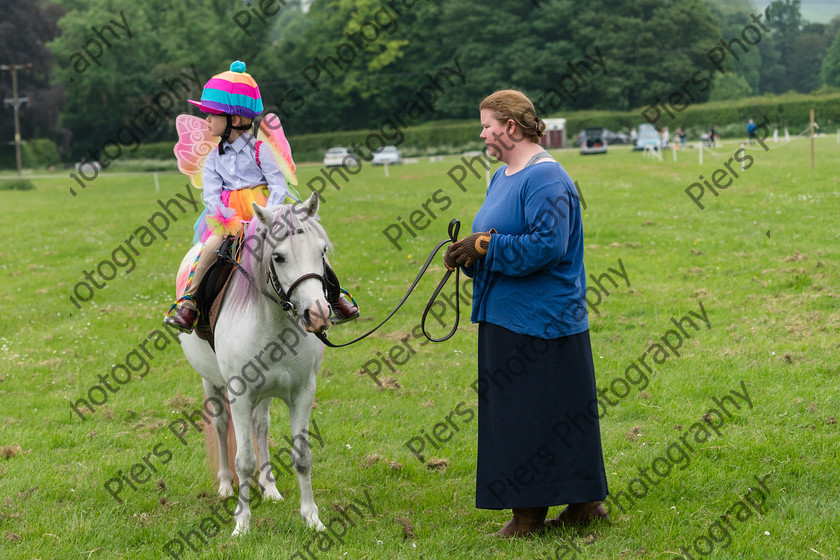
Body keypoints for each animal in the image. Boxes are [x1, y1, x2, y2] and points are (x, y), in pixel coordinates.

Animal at [177, 195, 332, 536]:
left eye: (322, 251)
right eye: (278, 257)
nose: (318, 315)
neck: (274, 322)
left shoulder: (303, 393)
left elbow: (302, 457)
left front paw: (312, 518)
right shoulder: (240, 394)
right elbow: (244, 460)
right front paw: (242, 523)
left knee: (261, 427)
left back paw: (269, 486)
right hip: (212, 384)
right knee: (222, 427)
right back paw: (225, 485)